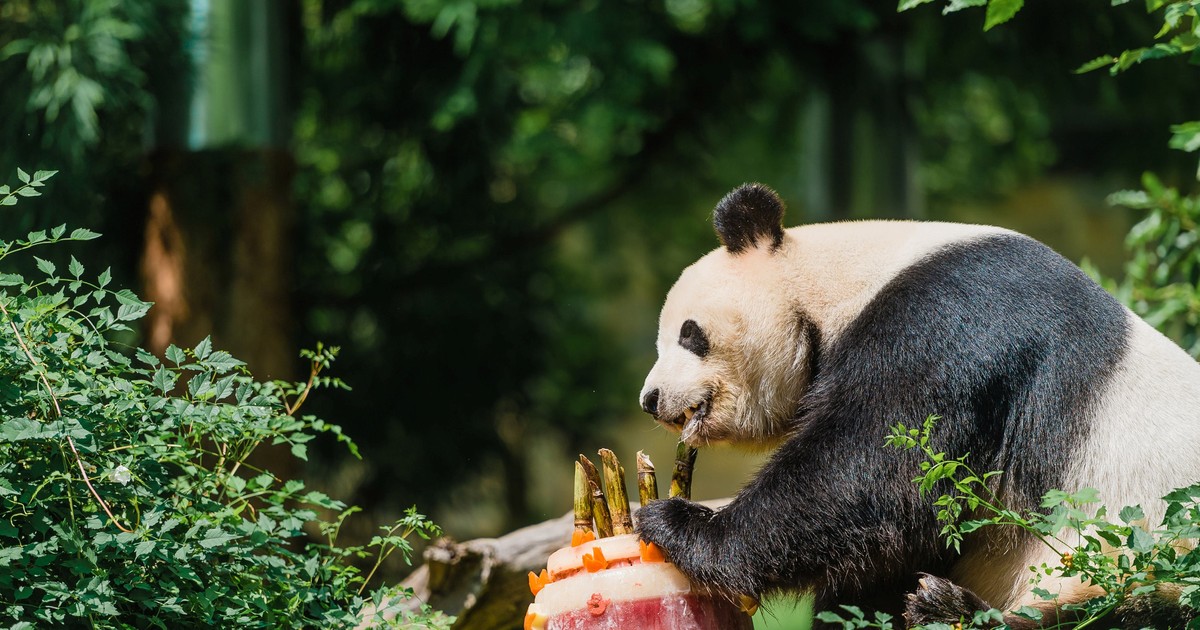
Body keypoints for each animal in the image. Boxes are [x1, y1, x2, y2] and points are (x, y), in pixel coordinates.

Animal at [633, 183, 1200, 628]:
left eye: (689, 333)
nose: (651, 400)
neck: (844, 277)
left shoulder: (953, 323)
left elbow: (874, 471)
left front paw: (680, 525)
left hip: (1149, 554)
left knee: (1122, 611)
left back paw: (946, 609)